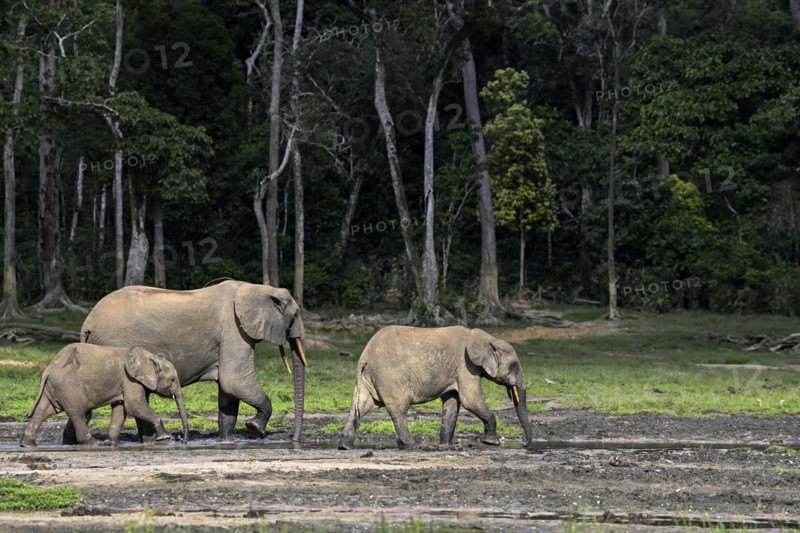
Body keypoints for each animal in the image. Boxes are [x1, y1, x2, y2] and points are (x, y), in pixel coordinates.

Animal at [20, 344, 189, 447]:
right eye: (172, 379)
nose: (183, 441)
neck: (150, 357)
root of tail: (48, 368)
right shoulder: (130, 379)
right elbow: (134, 405)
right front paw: (164, 437)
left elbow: (121, 409)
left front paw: (112, 443)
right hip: (69, 387)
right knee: (78, 413)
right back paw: (93, 443)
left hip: (54, 387)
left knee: (43, 411)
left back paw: (27, 444)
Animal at [80, 279, 307, 442]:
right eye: (296, 314)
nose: (294, 440)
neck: (256, 288)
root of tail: (87, 324)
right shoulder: (234, 331)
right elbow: (234, 381)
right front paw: (256, 429)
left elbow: (228, 393)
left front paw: (226, 441)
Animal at [339, 326, 533, 449]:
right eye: (514, 365)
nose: (523, 444)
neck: (486, 338)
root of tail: (364, 355)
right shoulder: (466, 365)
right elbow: (471, 400)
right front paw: (491, 443)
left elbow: (452, 404)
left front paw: (446, 445)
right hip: (389, 376)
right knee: (398, 409)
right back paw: (412, 446)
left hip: (368, 378)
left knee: (359, 407)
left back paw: (345, 446)